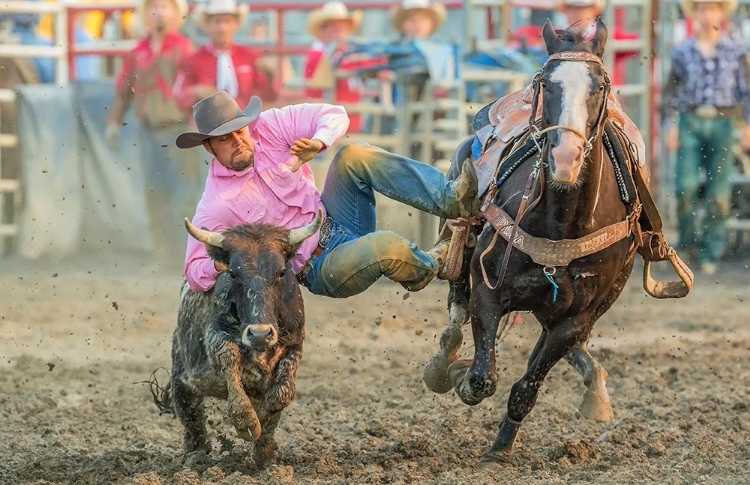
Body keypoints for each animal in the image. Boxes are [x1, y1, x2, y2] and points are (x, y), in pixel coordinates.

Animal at [426, 19, 692, 468]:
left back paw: (594, 385)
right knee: (455, 309)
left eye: (600, 85)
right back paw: (444, 362)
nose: (566, 159)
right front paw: (461, 376)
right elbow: (482, 376)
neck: (561, 222)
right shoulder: (488, 288)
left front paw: (500, 448)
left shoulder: (573, 318)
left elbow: (527, 386)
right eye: (547, 84)